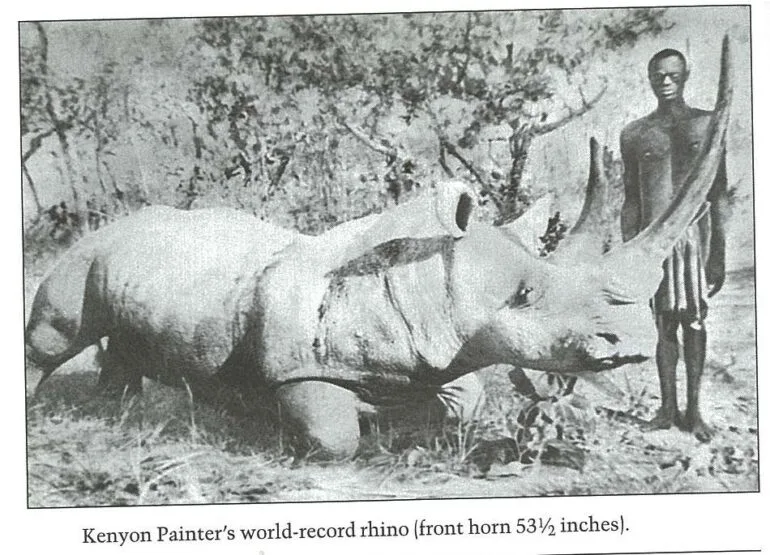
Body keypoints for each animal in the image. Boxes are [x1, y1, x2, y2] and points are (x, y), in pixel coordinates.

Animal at [26, 38, 732, 458]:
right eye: (526, 295)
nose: (629, 343)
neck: (428, 273)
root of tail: (115, 223)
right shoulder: (298, 365)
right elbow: (334, 436)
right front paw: (285, 425)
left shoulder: (448, 349)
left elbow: (464, 404)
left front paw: (414, 426)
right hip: (84, 249)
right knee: (55, 336)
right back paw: (42, 407)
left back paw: (118, 409)